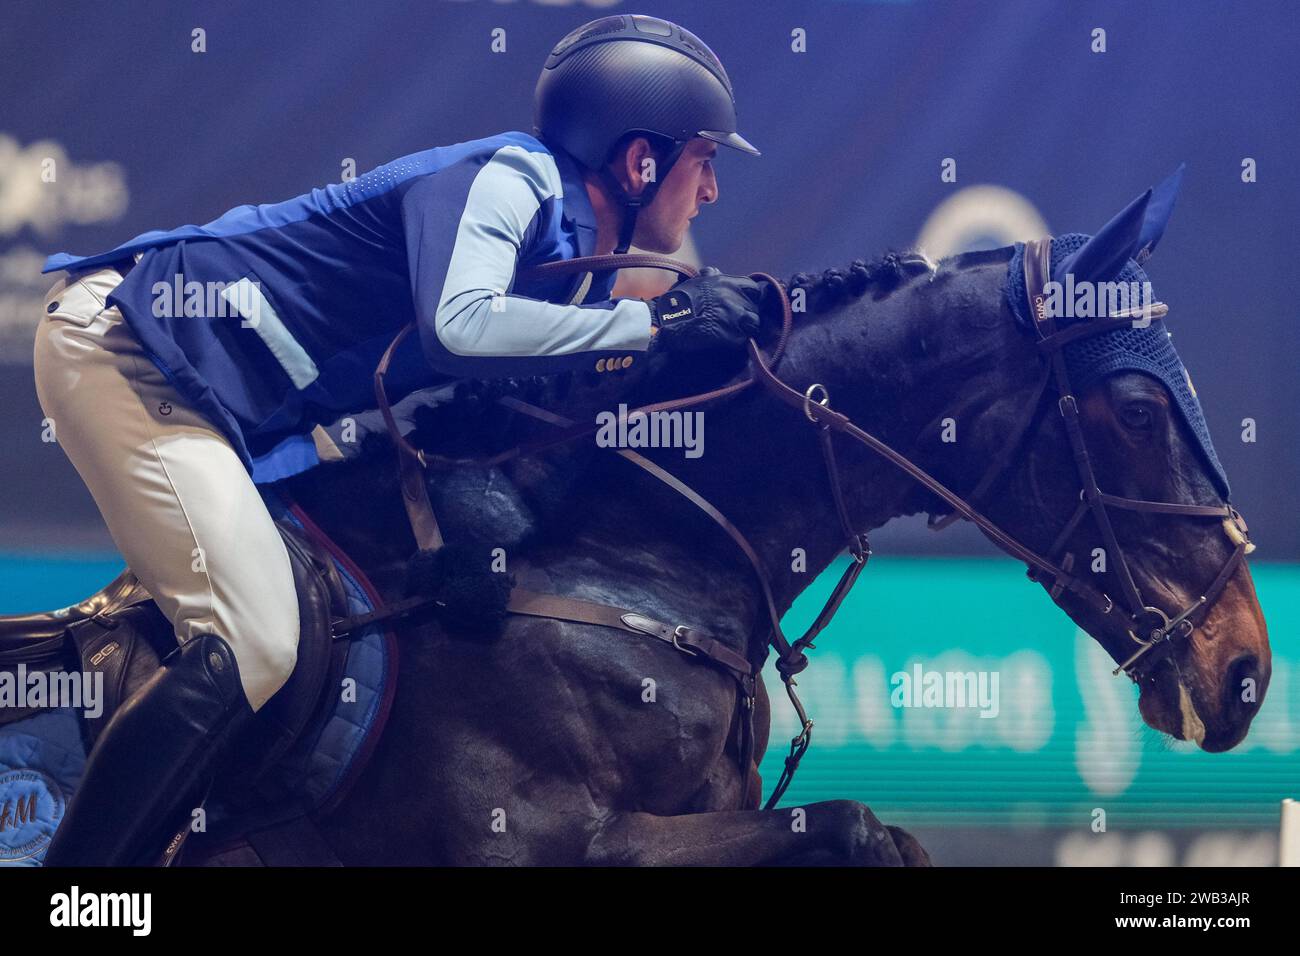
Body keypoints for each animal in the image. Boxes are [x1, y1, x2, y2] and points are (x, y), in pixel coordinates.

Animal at [215, 187, 1268, 868]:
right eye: (1138, 413)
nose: (1247, 670)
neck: (610, 564)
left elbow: (877, 833)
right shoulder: (536, 839)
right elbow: (856, 827)